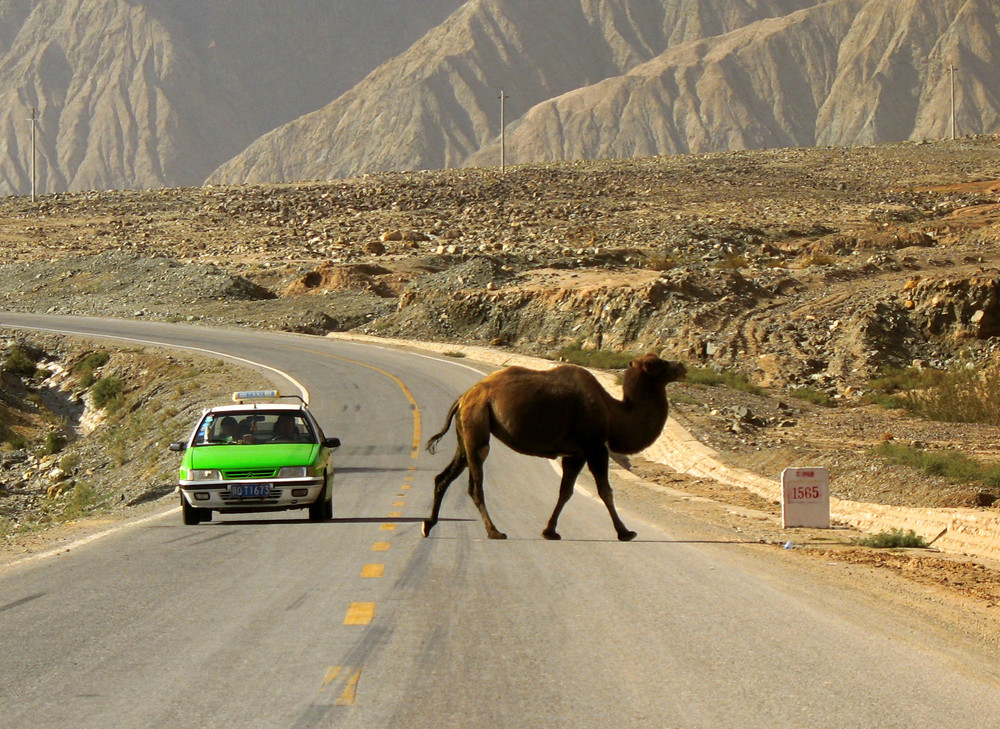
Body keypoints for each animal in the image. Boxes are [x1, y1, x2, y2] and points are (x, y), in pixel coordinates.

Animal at [422, 352, 688, 540]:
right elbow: (605, 491)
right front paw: (625, 532)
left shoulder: (576, 453)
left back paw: (428, 525)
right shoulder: (595, 447)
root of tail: (464, 397)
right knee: (475, 482)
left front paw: (550, 531)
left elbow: (565, 491)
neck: (614, 413)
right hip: (477, 422)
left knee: (445, 475)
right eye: (659, 363)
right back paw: (494, 531)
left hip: (467, 428)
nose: (682, 366)